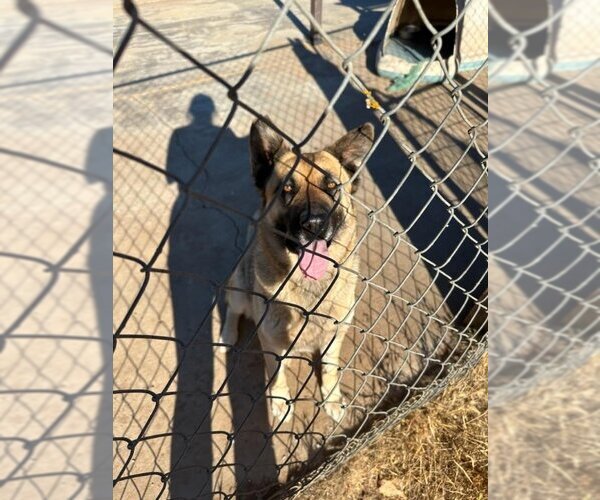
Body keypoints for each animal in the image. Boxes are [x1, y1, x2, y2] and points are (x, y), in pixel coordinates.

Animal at [220, 117, 376, 422]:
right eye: (287, 190)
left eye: (331, 186)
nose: (314, 224)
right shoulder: (271, 343)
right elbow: (276, 374)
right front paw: (280, 400)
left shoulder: (334, 337)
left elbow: (329, 368)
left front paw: (331, 397)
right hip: (240, 289)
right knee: (233, 308)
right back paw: (228, 334)